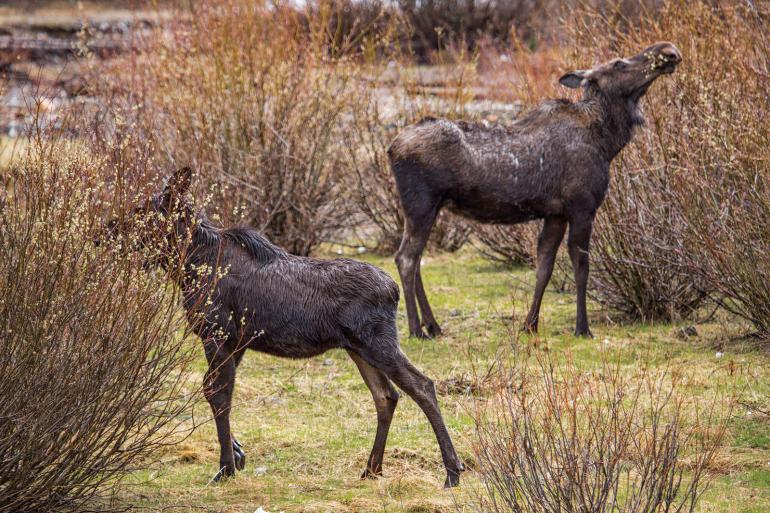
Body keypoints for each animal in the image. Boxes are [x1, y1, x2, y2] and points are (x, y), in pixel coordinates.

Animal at [106, 169, 464, 488]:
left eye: (141, 210)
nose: (103, 231)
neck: (187, 267)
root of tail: (393, 290)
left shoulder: (218, 334)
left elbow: (218, 394)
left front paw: (225, 468)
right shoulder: (236, 342)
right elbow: (213, 391)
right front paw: (238, 455)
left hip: (378, 343)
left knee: (422, 385)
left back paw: (452, 471)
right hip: (357, 348)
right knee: (386, 396)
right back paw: (372, 469)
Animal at [390, 42, 680, 338]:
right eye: (618, 63)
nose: (669, 51)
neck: (607, 142)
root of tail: (391, 148)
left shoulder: (556, 214)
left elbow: (544, 267)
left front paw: (530, 324)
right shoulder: (582, 206)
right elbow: (581, 267)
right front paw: (582, 327)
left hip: (428, 208)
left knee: (416, 260)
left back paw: (433, 325)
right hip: (421, 204)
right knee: (406, 258)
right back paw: (415, 329)